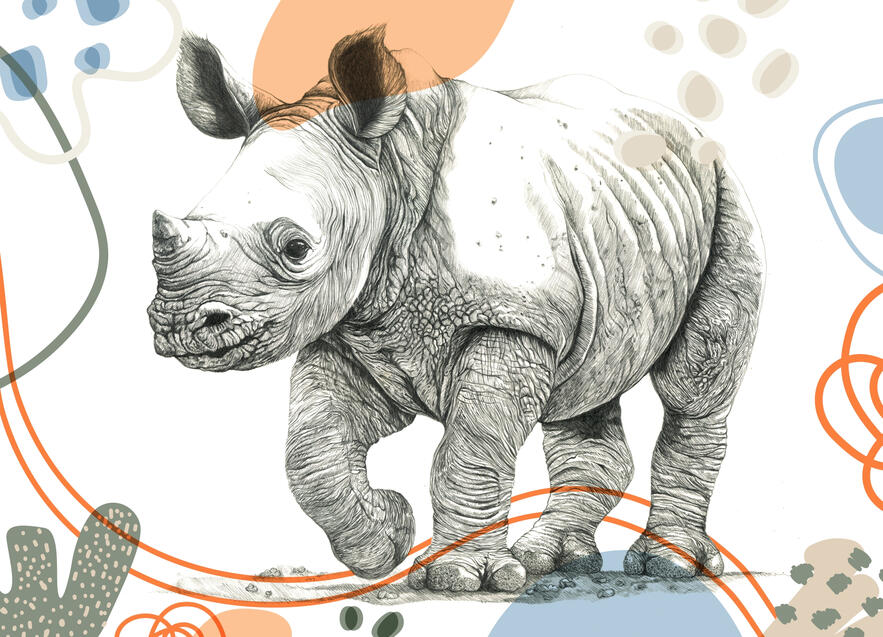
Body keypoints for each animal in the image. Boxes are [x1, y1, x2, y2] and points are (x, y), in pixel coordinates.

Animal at [148, 27, 764, 592]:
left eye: (296, 248)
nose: (182, 323)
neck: (391, 169)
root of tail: (688, 129)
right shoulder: (353, 327)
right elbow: (312, 452)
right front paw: (389, 536)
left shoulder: (510, 316)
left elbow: (469, 451)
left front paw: (463, 577)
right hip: (612, 218)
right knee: (587, 385)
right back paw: (554, 559)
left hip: (727, 196)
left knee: (694, 382)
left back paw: (670, 566)